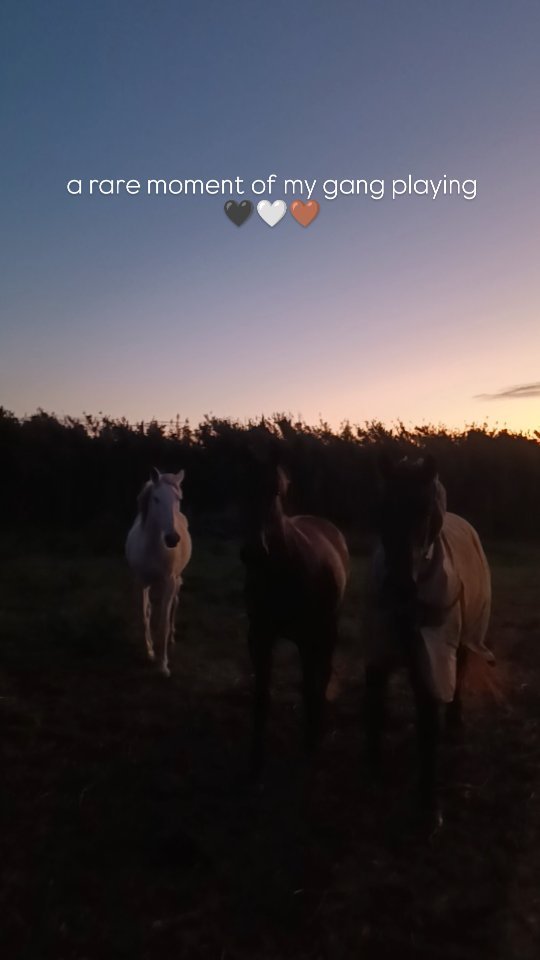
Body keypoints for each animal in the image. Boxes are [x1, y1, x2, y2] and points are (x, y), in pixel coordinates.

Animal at [125, 468, 192, 677]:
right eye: (156, 498)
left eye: (178, 498)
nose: (172, 539)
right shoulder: (142, 582)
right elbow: (145, 614)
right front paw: (149, 651)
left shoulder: (169, 582)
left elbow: (163, 623)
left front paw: (163, 665)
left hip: (176, 580)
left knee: (174, 604)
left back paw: (172, 637)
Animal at [241, 450, 349, 776]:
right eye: (241, 486)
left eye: (276, 491)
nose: (253, 551)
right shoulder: (259, 636)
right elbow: (262, 696)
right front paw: (255, 761)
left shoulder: (308, 636)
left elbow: (311, 685)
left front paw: (310, 742)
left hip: (326, 630)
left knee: (321, 676)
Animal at [364, 453, 494, 826]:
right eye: (381, 508)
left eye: (424, 511)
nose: (399, 586)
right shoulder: (378, 653)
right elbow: (374, 711)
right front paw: (372, 772)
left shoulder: (433, 657)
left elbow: (427, 725)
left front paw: (426, 804)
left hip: (463, 642)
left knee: (460, 675)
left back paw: (455, 722)